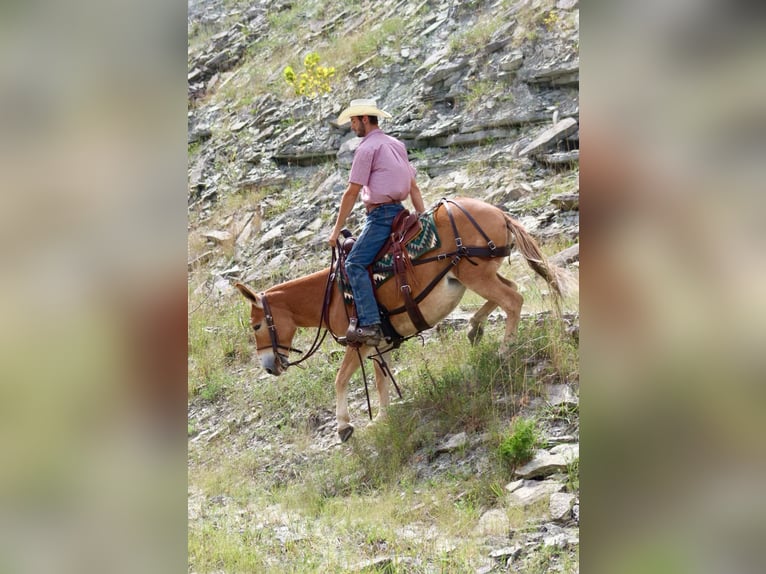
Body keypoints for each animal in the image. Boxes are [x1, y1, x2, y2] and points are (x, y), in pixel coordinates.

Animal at [235, 197, 564, 442]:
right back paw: (474, 328)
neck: (333, 295)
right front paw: (382, 417)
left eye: (256, 325)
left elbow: (340, 379)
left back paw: (504, 349)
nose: (269, 367)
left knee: (513, 300)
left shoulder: (358, 344)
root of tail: (499, 213)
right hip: (474, 276)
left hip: (476, 275)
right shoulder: (379, 343)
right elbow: (382, 380)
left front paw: (344, 426)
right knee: (509, 291)